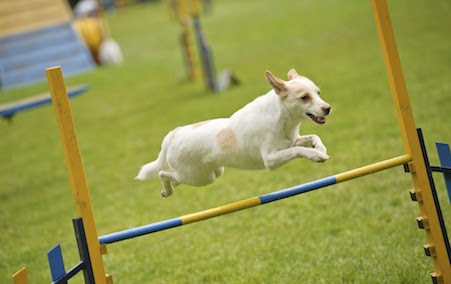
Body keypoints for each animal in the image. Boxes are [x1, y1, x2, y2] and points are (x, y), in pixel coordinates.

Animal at [138, 69, 332, 197]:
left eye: (318, 92)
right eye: (304, 97)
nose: (328, 108)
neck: (282, 117)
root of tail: (172, 135)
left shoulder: (291, 141)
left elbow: (312, 138)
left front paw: (320, 149)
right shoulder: (270, 160)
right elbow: (299, 150)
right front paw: (316, 155)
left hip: (213, 172)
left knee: (174, 177)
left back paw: (167, 189)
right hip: (200, 177)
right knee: (163, 173)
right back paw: (167, 189)